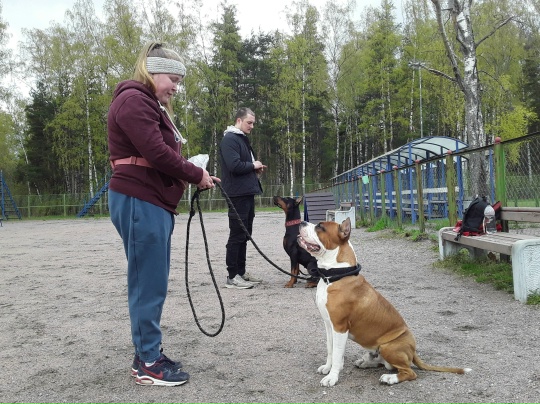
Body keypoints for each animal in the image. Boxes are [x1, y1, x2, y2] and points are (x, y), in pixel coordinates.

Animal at [297, 217, 471, 386]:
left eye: (320, 227)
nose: (302, 222)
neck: (334, 275)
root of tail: (413, 351)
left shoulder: (340, 327)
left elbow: (337, 353)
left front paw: (332, 377)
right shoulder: (329, 325)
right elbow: (330, 349)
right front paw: (327, 368)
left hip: (389, 347)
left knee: (409, 372)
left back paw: (390, 378)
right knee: (386, 364)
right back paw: (366, 362)